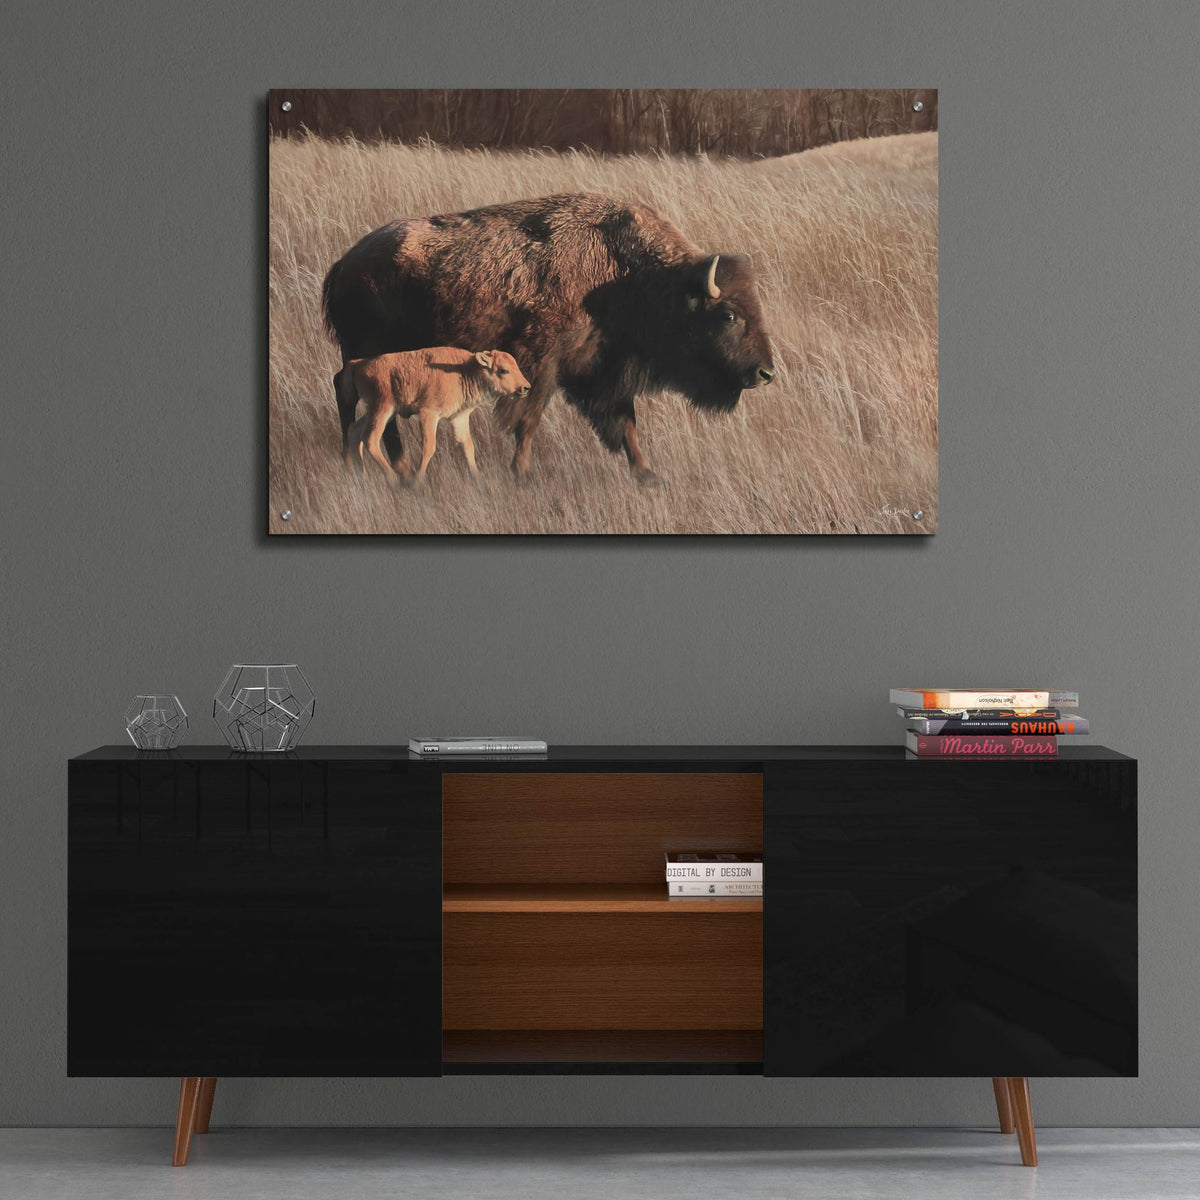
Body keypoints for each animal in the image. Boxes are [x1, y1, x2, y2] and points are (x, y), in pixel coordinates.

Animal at [321, 193, 775, 483]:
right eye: (727, 314)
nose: (766, 373)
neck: (626, 273)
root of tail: (345, 263)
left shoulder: (603, 374)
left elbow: (626, 424)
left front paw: (648, 475)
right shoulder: (542, 366)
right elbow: (529, 419)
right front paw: (522, 475)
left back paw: (387, 467)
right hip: (367, 355)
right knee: (356, 400)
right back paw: (375, 465)